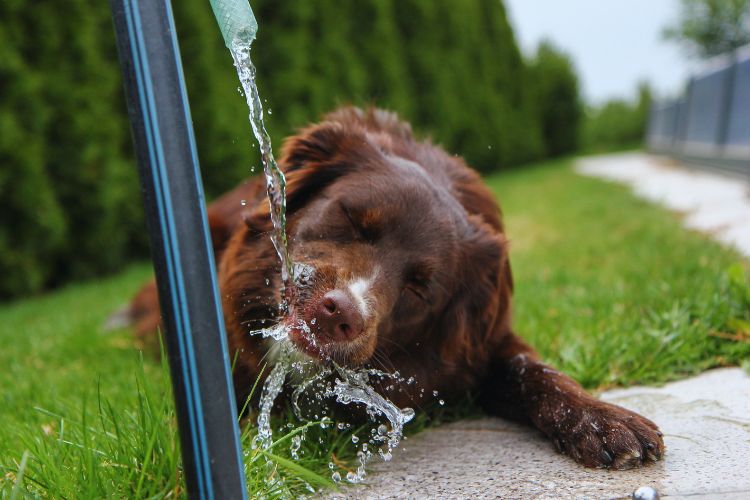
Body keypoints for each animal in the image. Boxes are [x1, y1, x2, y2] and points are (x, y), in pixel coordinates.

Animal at [128, 106, 664, 468]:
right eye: (351, 219)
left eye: (421, 287)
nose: (339, 314)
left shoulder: (484, 345)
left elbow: (536, 371)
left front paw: (603, 419)